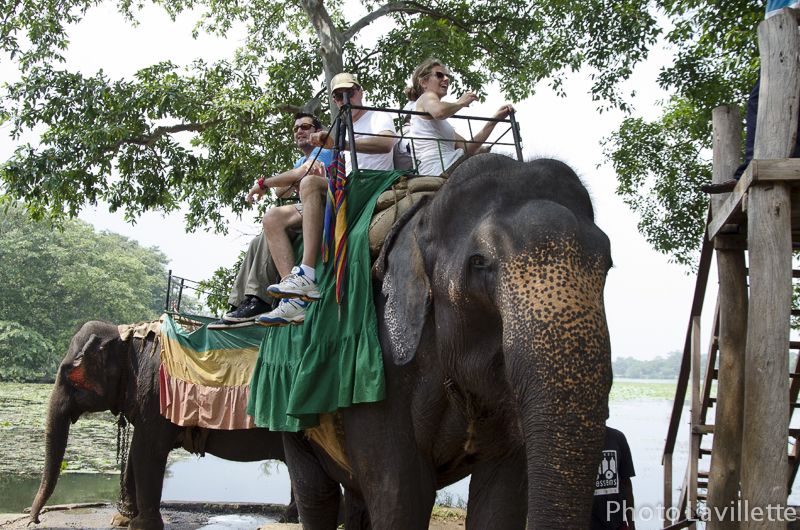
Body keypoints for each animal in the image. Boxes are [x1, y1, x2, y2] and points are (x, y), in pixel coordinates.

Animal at [28, 320, 297, 530]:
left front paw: (141, 526)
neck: (127, 337)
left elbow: (147, 450)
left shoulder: (156, 393)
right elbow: (135, 455)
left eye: (67, 373)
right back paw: (287, 518)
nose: (35, 520)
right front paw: (121, 520)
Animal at [281, 154, 613, 529]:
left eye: (608, 264)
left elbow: (500, 505)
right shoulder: (374, 379)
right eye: (478, 262)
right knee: (315, 493)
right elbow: (401, 502)